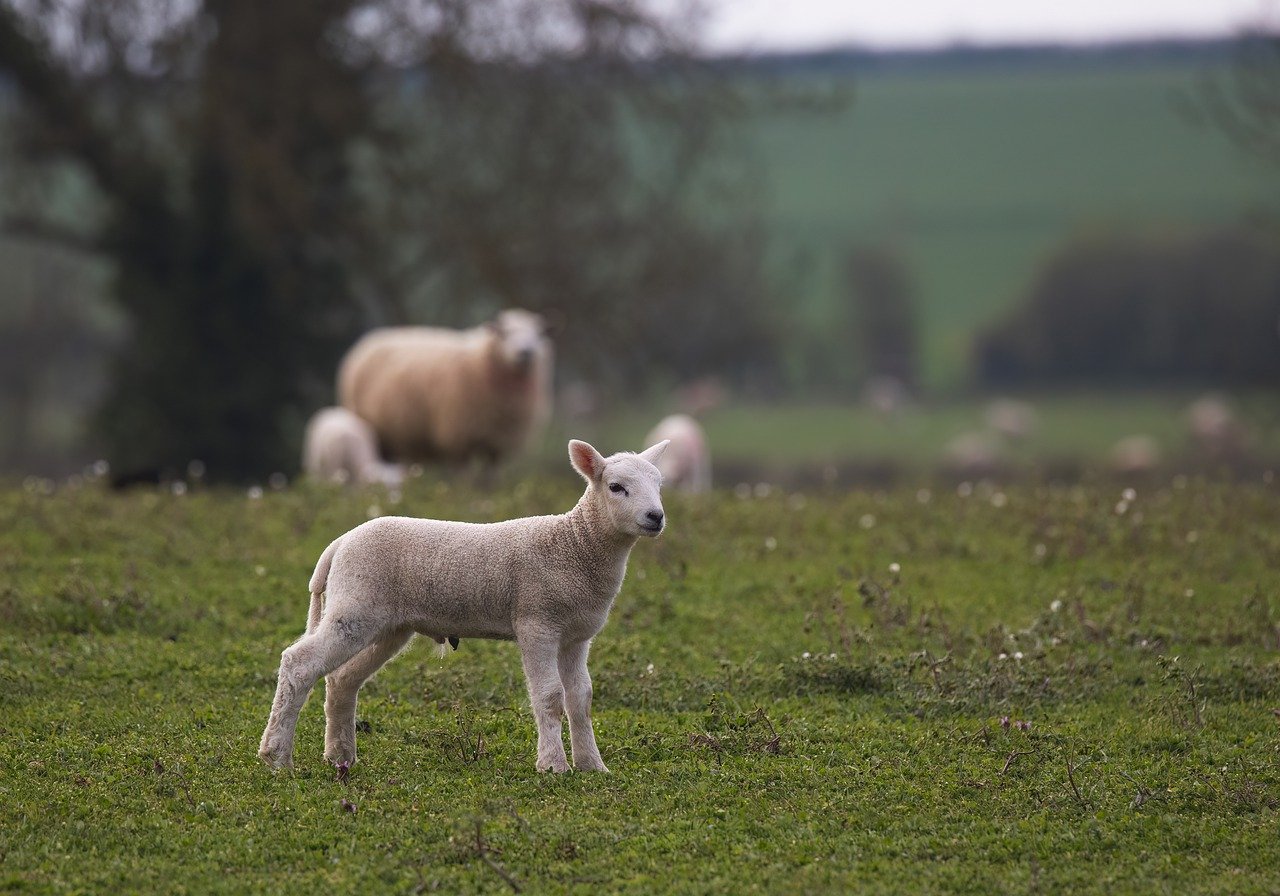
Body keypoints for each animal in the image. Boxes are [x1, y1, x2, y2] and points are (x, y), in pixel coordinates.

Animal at [258, 437, 670, 773]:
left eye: (659, 485)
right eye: (616, 487)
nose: (656, 517)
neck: (575, 545)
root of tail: (339, 544)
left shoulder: (576, 636)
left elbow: (580, 698)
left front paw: (592, 766)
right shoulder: (537, 623)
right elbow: (550, 696)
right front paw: (553, 766)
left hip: (387, 625)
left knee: (342, 679)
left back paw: (340, 756)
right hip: (354, 606)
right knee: (299, 664)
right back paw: (276, 756)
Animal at [337, 305, 552, 460]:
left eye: (537, 335)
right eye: (505, 333)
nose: (525, 352)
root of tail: (372, 338)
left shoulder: (497, 444)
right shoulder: (458, 436)